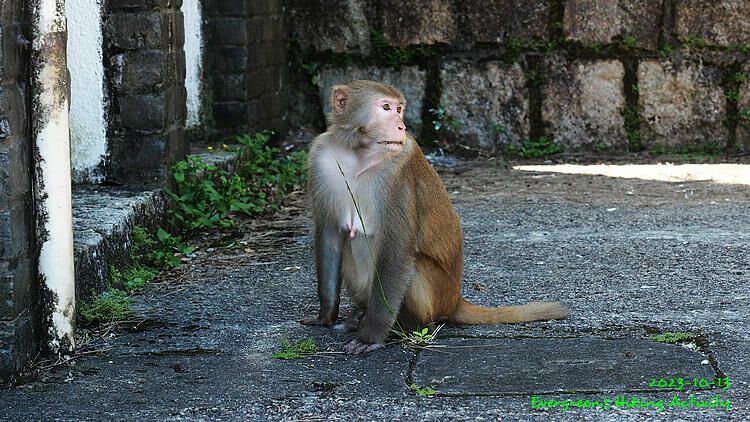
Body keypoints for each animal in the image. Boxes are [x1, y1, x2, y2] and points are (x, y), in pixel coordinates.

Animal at [302, 80, 568, 354]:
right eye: (385, 107)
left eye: (399, 109)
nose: (401, 126)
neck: (358, 154)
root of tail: (454, 300)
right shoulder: (321, 159)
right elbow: (330, 235)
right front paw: (325, 316)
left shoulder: (398, 174)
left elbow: (397, 250)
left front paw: (370, 337)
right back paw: (360, 313)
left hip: (438, 294)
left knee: (414, 268)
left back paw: (403, 326)